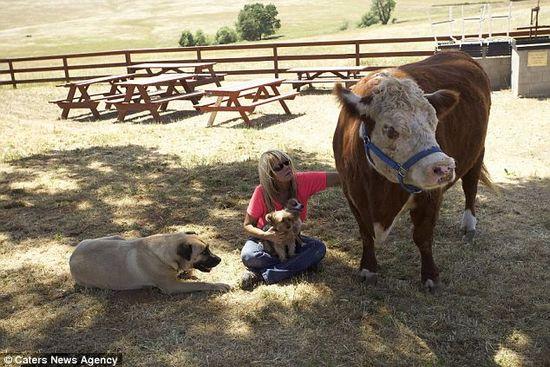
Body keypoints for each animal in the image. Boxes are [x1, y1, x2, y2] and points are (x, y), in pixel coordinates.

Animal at [70, 233, 232, 296]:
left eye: (208, 248)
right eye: (204, 252)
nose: (219, 259)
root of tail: (71, 257)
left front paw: (187, 273)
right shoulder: (172, 287)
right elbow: (201, 284)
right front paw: (218, 285)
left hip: (116, 237)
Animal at [334, 51, 494, 292]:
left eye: (435, 123)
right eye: (390, 130)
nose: (444, 167)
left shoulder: (431, 195)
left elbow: (423, 237)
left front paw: (430, 276)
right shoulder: (351, 194)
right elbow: (365, 234)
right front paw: (368, 269)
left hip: (478, 152)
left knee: (470, 188)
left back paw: (469, 225)